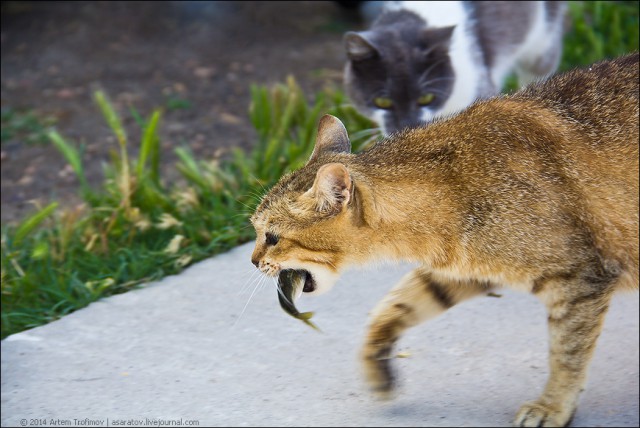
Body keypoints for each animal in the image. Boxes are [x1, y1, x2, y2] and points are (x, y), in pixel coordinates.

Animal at [250, 54, 640, 428]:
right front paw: (376, 364)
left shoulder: (579, 280)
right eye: (254, 228)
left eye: (272, 237)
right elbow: (392, 306)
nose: (253, 261)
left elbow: (567, 353)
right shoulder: (463, 268)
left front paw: (553, 406)